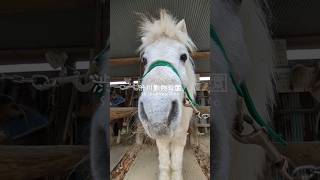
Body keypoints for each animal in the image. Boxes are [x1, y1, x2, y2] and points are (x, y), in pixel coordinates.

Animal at [138, 9, 198, 180]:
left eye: (184, 56)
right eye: (144, 60)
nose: (157, 113)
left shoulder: (180, 135)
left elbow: (176, 163)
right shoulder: (162, 138)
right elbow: (165, 162)